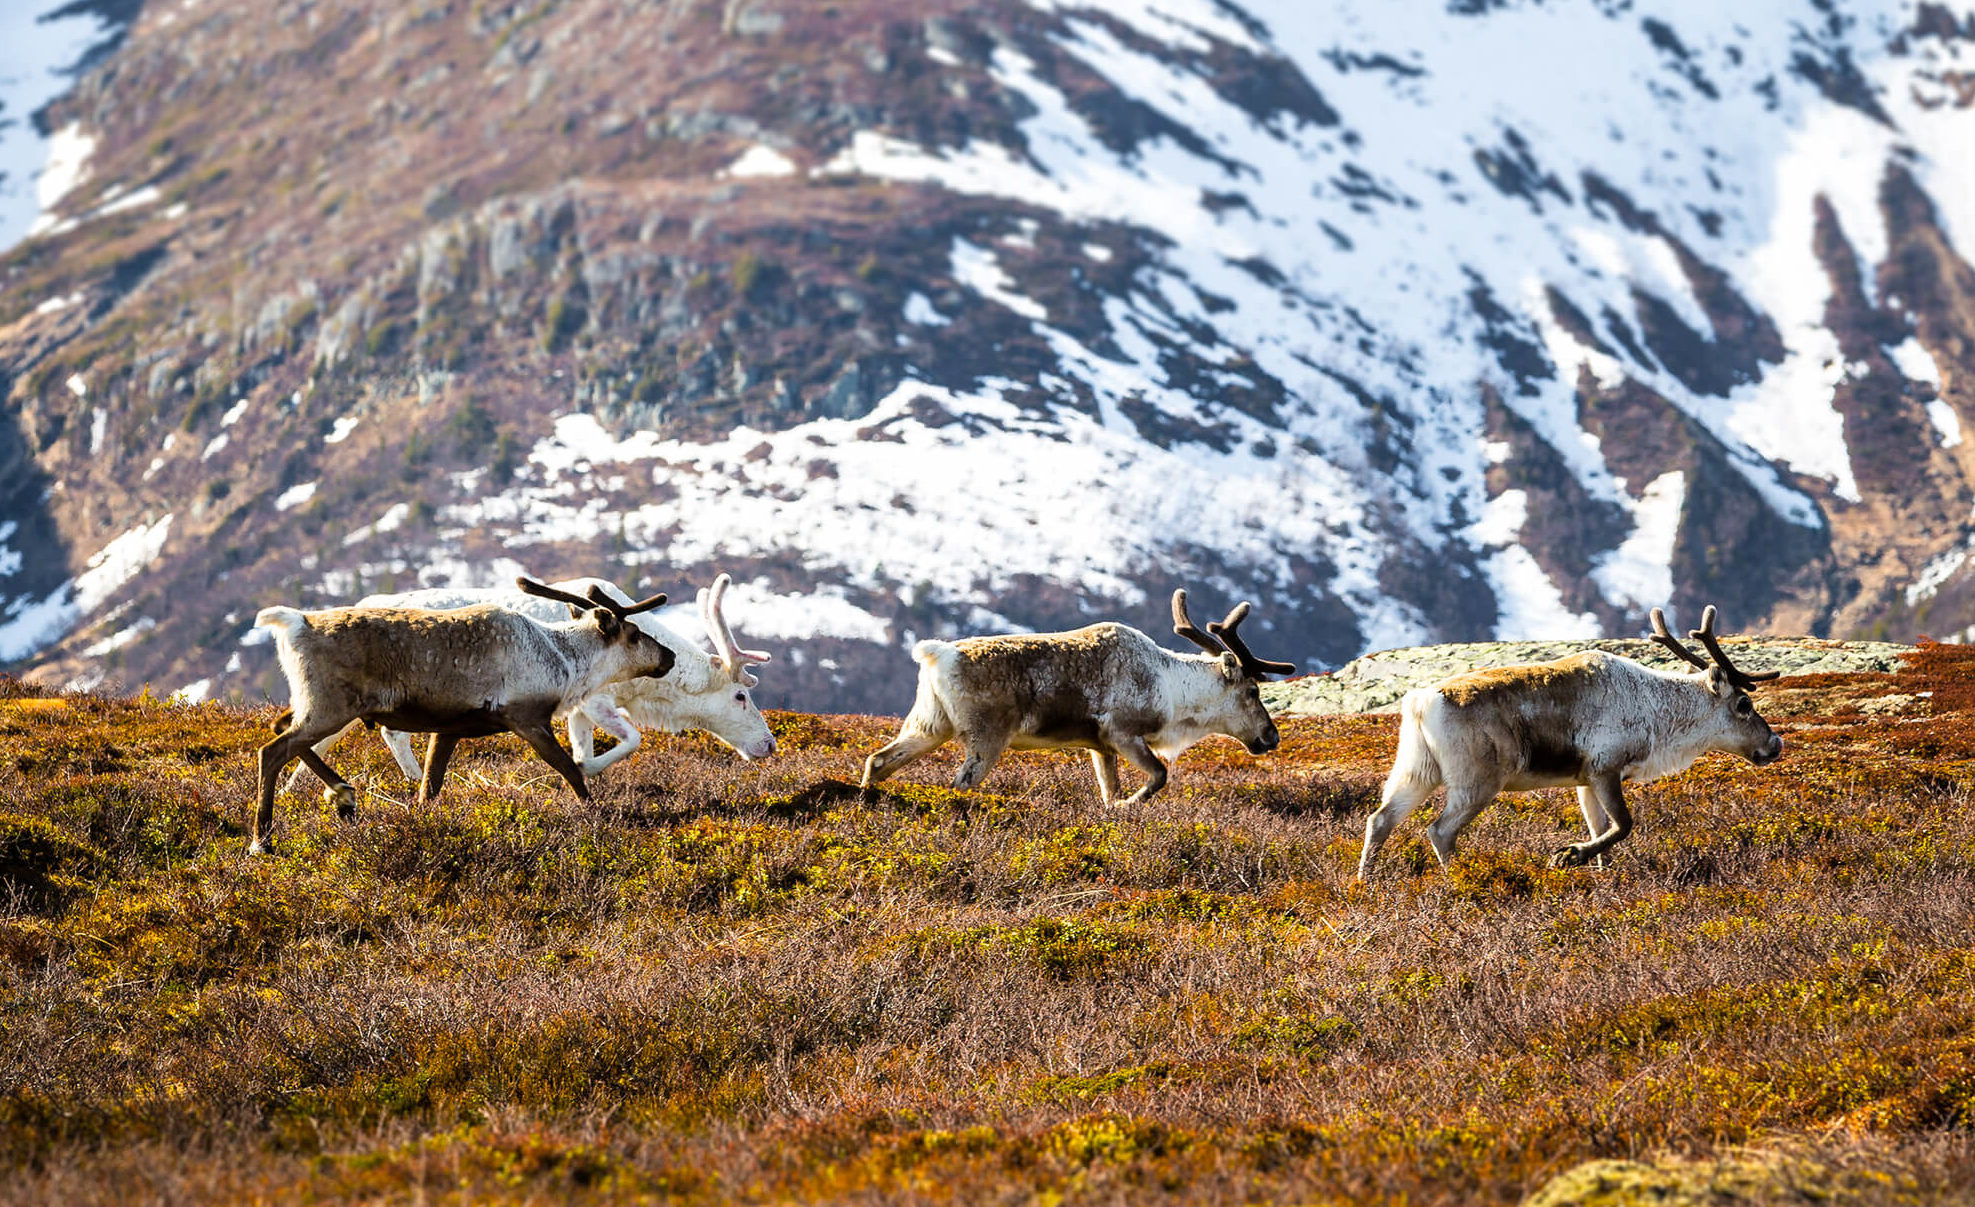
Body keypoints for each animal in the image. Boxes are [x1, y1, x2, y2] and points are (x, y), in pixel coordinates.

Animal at [250, 577, 675, 855]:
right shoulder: (526, 718)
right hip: (329, 706)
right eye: (634, 634)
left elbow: (430, 787)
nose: (669, 657)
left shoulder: (449, 728)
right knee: (272, 749)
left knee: (280, 726)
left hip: (314, 703)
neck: (564, 660)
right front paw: (597, 814)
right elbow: (569, 769)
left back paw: (343, 794)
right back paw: (262, 840)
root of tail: (295, 623)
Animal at [861, 589, 1295, 806]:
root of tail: (935, 654)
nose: (1271, 737)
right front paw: (1127, 806)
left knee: (879, 759)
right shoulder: (1122, 733)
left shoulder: (1099, 747)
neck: (1173, 691)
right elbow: (1158, 775)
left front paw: (1112, 811)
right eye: (1253, 690)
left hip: (929, 724)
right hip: (986, 737)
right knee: (959, 784)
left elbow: (1108, 789)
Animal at [1356, 605, 1784, 879]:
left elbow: (1601, 829)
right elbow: (1623, 825)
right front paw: (1567, 856)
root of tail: (1420, 702)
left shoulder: (1583, 780)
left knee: (1381, 818)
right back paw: (1458, 879)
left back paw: (1366, 882)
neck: (1658, 714)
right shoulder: (1604, 767)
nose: (1775, 743)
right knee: (1439, 830)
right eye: (1744, 703)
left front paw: (1601, 873)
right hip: (1476, 779)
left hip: (1416, 769)